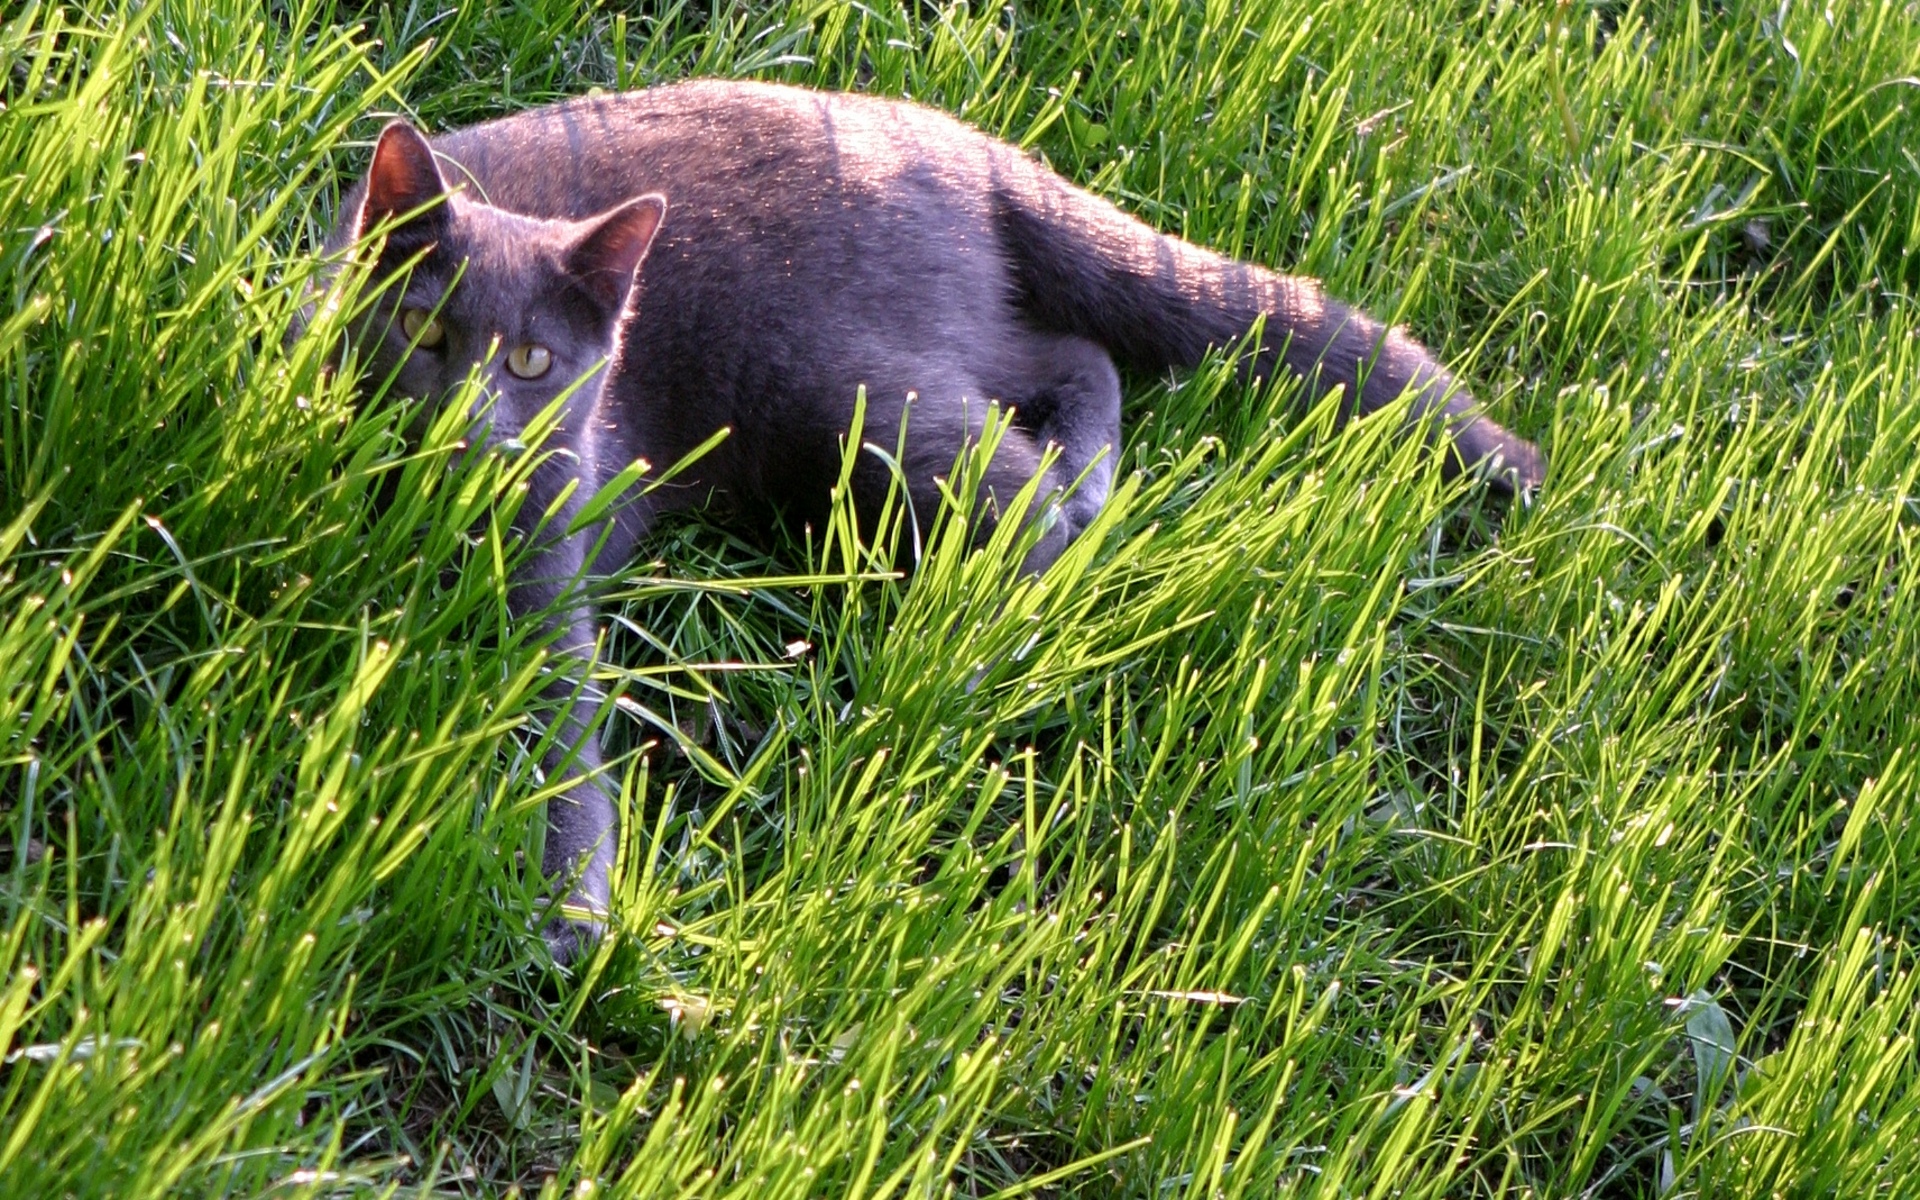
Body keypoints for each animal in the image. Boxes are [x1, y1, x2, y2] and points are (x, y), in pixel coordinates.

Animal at [326, 79, 1543, 960]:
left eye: (531, 363)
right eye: (421, 329)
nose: (468, 424)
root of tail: (948, 139)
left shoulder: (551, 571)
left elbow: (563, 742)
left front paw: (567, 917)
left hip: (847, 391)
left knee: (1034, 456)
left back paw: (1027, 584)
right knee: (1075, 356)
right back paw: (1081, 489)